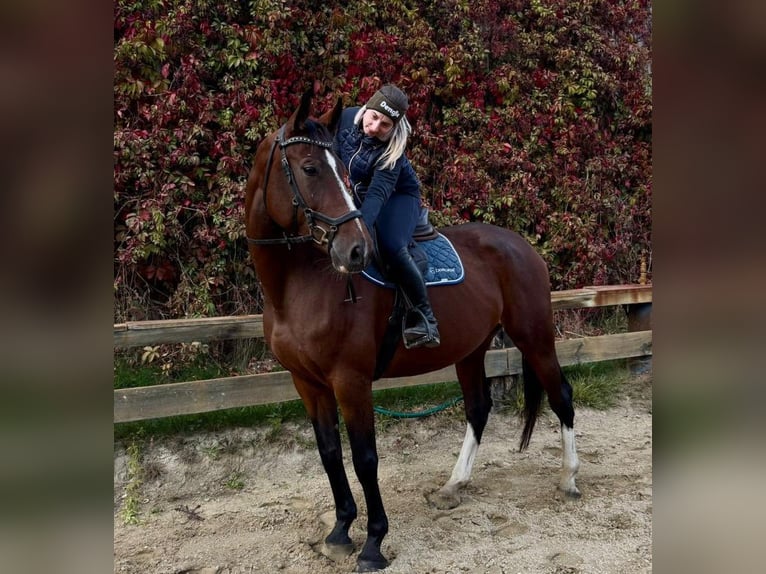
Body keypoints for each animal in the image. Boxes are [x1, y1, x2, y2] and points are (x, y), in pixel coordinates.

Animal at [244, 89, 580, 572]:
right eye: (310, 168)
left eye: (339, 168)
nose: (356, 250)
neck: (300, 284)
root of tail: (521, 245)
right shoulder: (307, 383)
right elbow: (329, 454)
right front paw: (340, 531)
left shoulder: (351, 381)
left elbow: (365, 458)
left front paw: (373, 542)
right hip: (471, 349)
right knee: (478, 408)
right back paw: (453, 486)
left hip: (534, 337)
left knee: (561, 396)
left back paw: (569, 479)